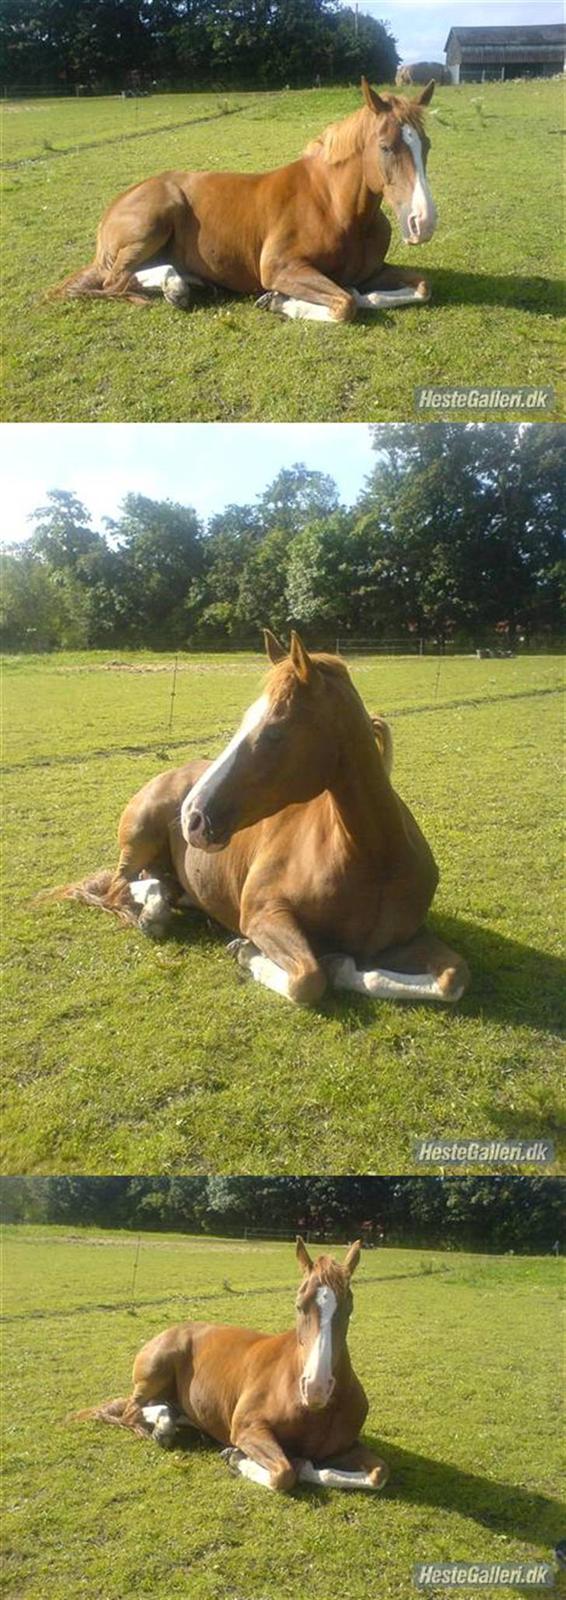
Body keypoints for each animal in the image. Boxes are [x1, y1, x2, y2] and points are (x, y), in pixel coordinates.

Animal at [49, 76, 438, 320]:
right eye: (385, 147)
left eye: (427, 145)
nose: (423, 222)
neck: (335, 208)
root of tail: (113, 208)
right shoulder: (281, 267)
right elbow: (345, 304)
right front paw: (279, 302)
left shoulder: (372, 271)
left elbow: (420, 286)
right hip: (154, 221)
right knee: (115, 280)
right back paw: (175, 287)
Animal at [51, 630, 470, 1004]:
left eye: (274, 732)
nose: (192, 818)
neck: (375, 858)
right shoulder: (263, 915)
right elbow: (309, 979)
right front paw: (251, 952)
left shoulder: (408, 937)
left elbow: (454, 978)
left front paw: (342, 966)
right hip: (138, 842)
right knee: (120, 887)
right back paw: (152, 915)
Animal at [73, 1235, 388, 1497]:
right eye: (299, 1305)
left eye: (349, 1307)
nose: (316, 1388)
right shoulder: (248, 1429)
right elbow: (284, 1474)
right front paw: (237, 1458)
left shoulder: (346, 1446)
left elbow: (378, 1473)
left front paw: (301, 1464)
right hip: (155, 1373)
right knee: (131, 1411)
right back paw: (162, 1429)